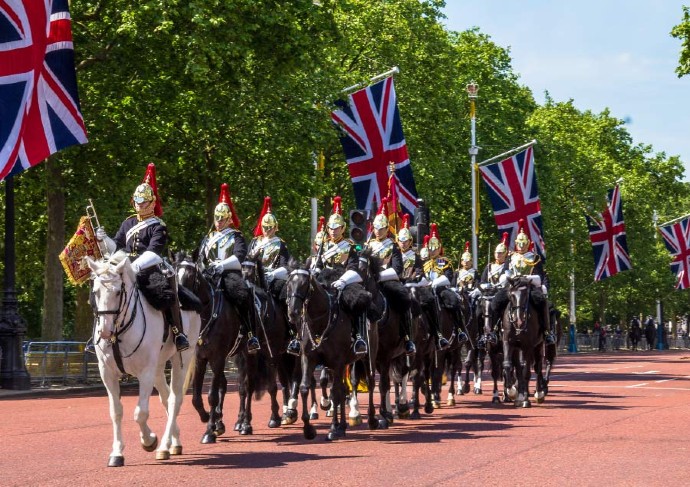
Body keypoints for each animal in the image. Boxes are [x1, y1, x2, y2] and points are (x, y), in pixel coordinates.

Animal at [85, 254, 199, 468]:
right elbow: (116, 411)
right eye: (95, 291)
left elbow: (141, 413)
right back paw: (174, 442)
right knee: (166, 398)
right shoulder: (107, 373)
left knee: (175, 399)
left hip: (181, 359)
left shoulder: (145, 372)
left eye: (118, 292)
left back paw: (164, 445)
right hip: (159, 367)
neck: (119, 332)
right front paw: (117, 453)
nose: (104, 331)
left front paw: (149, 440)